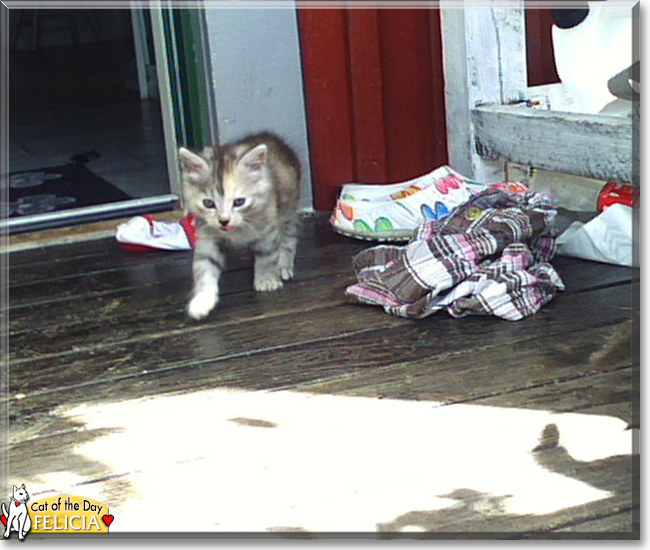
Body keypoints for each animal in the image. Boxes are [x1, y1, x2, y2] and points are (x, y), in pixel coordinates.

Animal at [177, 132, 298, 322]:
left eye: (239, 202)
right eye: (208, 203)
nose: (223, 220)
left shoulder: (268, 229)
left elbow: (266, 256)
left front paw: (266, 280)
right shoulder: (207, 237)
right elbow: (205, 267)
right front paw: (202, 300)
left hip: (287, 210)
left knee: (289, 237)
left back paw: (283, 265)